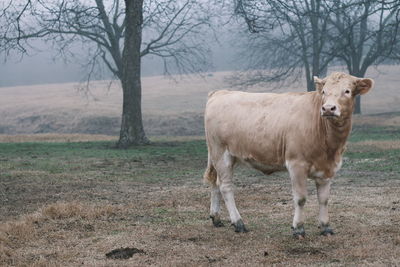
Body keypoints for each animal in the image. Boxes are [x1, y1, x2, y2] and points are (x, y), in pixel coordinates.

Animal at [205, 71, 374, 239]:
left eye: (347, 91)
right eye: (324, 92)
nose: (328, 108)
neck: (330, 146)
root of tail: (220, 93)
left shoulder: (327, 168)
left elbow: (324, 199)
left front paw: (326, 227)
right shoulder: (296, 164)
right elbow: (300, 198)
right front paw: (298, 228)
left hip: (220, 156)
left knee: (215, 182)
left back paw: (216, 218)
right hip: (221, 153)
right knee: (226, 187)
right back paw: (238, 223)